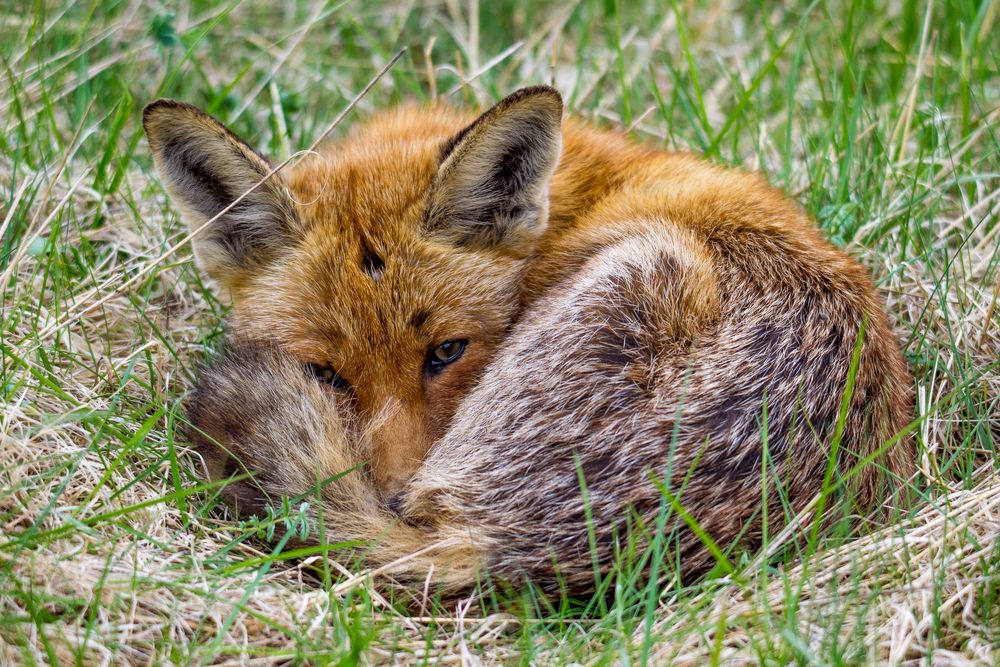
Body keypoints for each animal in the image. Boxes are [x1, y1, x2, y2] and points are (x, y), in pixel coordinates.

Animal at [145, 85, 916, 596]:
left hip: (645, 270)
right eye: (326, 374)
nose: (390, 498)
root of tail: (505, 547)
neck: (568, 206)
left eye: (447, 352)